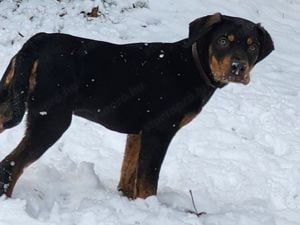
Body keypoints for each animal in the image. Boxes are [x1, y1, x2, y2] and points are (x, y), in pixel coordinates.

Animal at [0, 12, 274, 199]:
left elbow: (129, 177)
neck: (193, 67)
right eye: (223, 41)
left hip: (8, 101)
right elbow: (147, 183)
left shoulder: (137, 133)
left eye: (252, 46)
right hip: (51, 120)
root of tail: (39, 40)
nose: (238, 68)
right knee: (10, 165)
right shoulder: (159, 132)